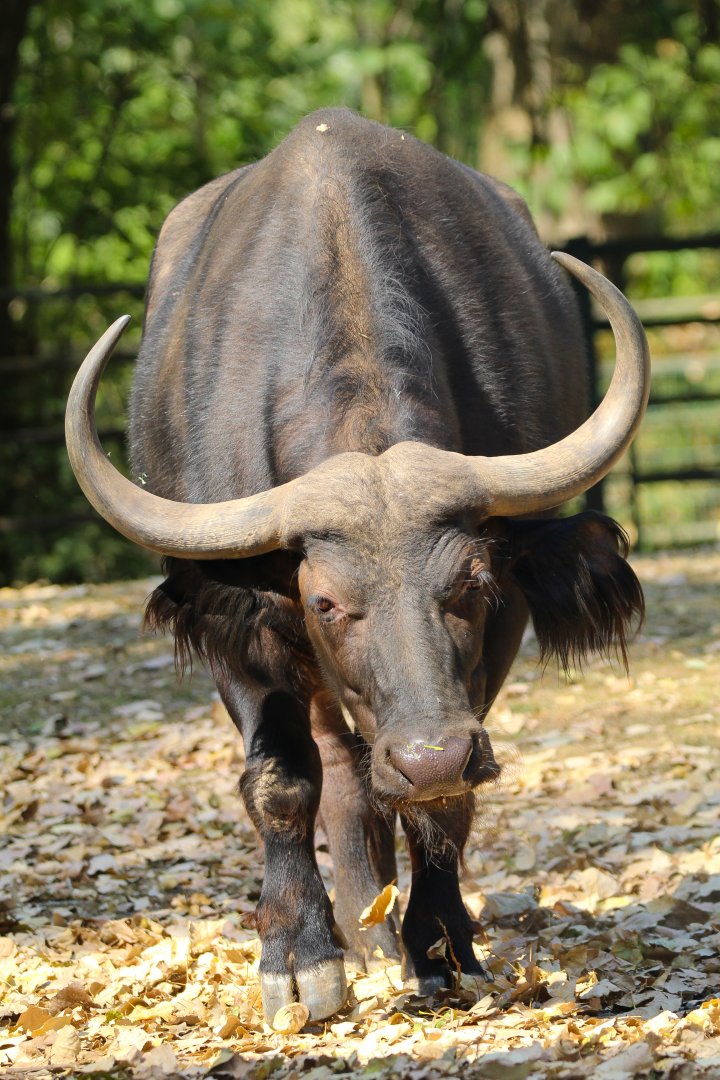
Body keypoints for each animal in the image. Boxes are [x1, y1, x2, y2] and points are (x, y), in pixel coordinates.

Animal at [66, 109, 649, 1021]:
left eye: (472, 584)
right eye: (328, 603)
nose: (431, 752)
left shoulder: (493, 649)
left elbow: (443, 807)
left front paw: (441, 948)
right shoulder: (241, 635)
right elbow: (281, 783)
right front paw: (299, 958)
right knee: (337, 766)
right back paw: (354, 927)